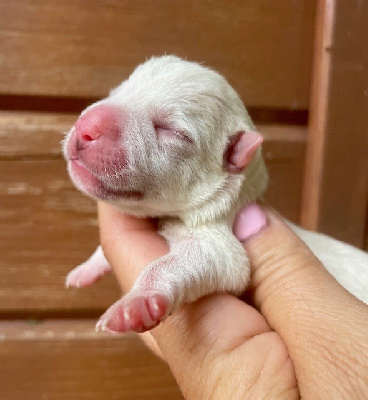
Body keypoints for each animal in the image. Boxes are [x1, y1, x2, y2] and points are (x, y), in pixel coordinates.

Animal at [63, 54, 368, 332]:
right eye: (118, 90)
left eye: (173, 131)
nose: (86, 126)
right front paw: (86, 268)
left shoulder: (220, 240)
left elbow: (210, 262)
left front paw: (136, 303)